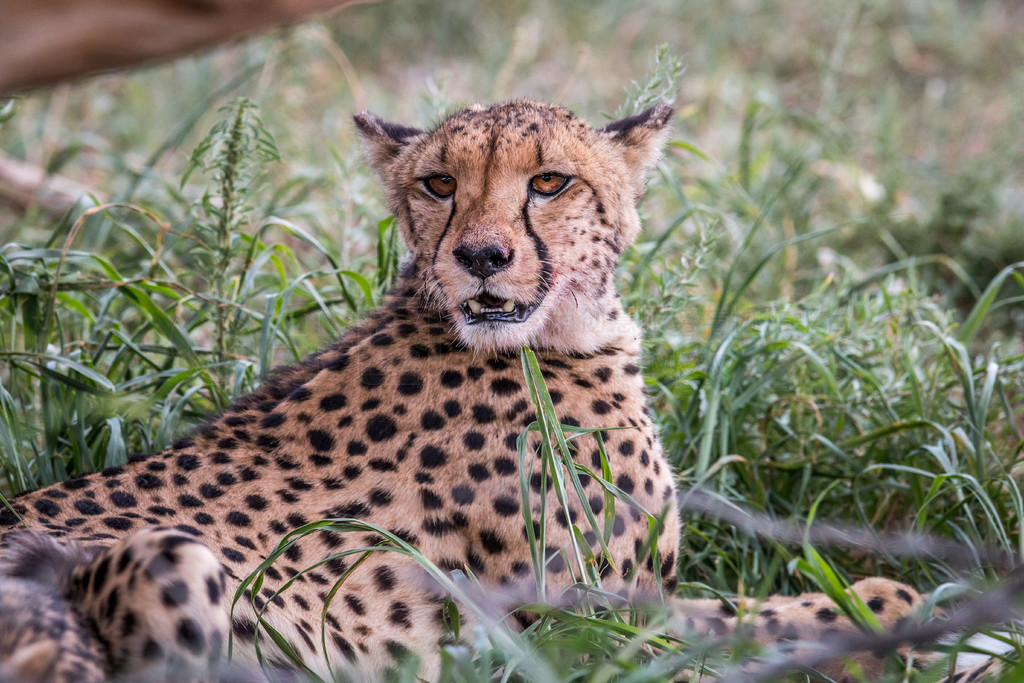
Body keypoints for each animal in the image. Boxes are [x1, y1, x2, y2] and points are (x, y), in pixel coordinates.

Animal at [0, 98, 999, 679]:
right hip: (172, 561)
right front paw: (910, 613)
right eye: (440, 182)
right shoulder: (581, 627)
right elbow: (774, 615)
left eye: (550, 181)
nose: (481, 255)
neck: (552, 333)